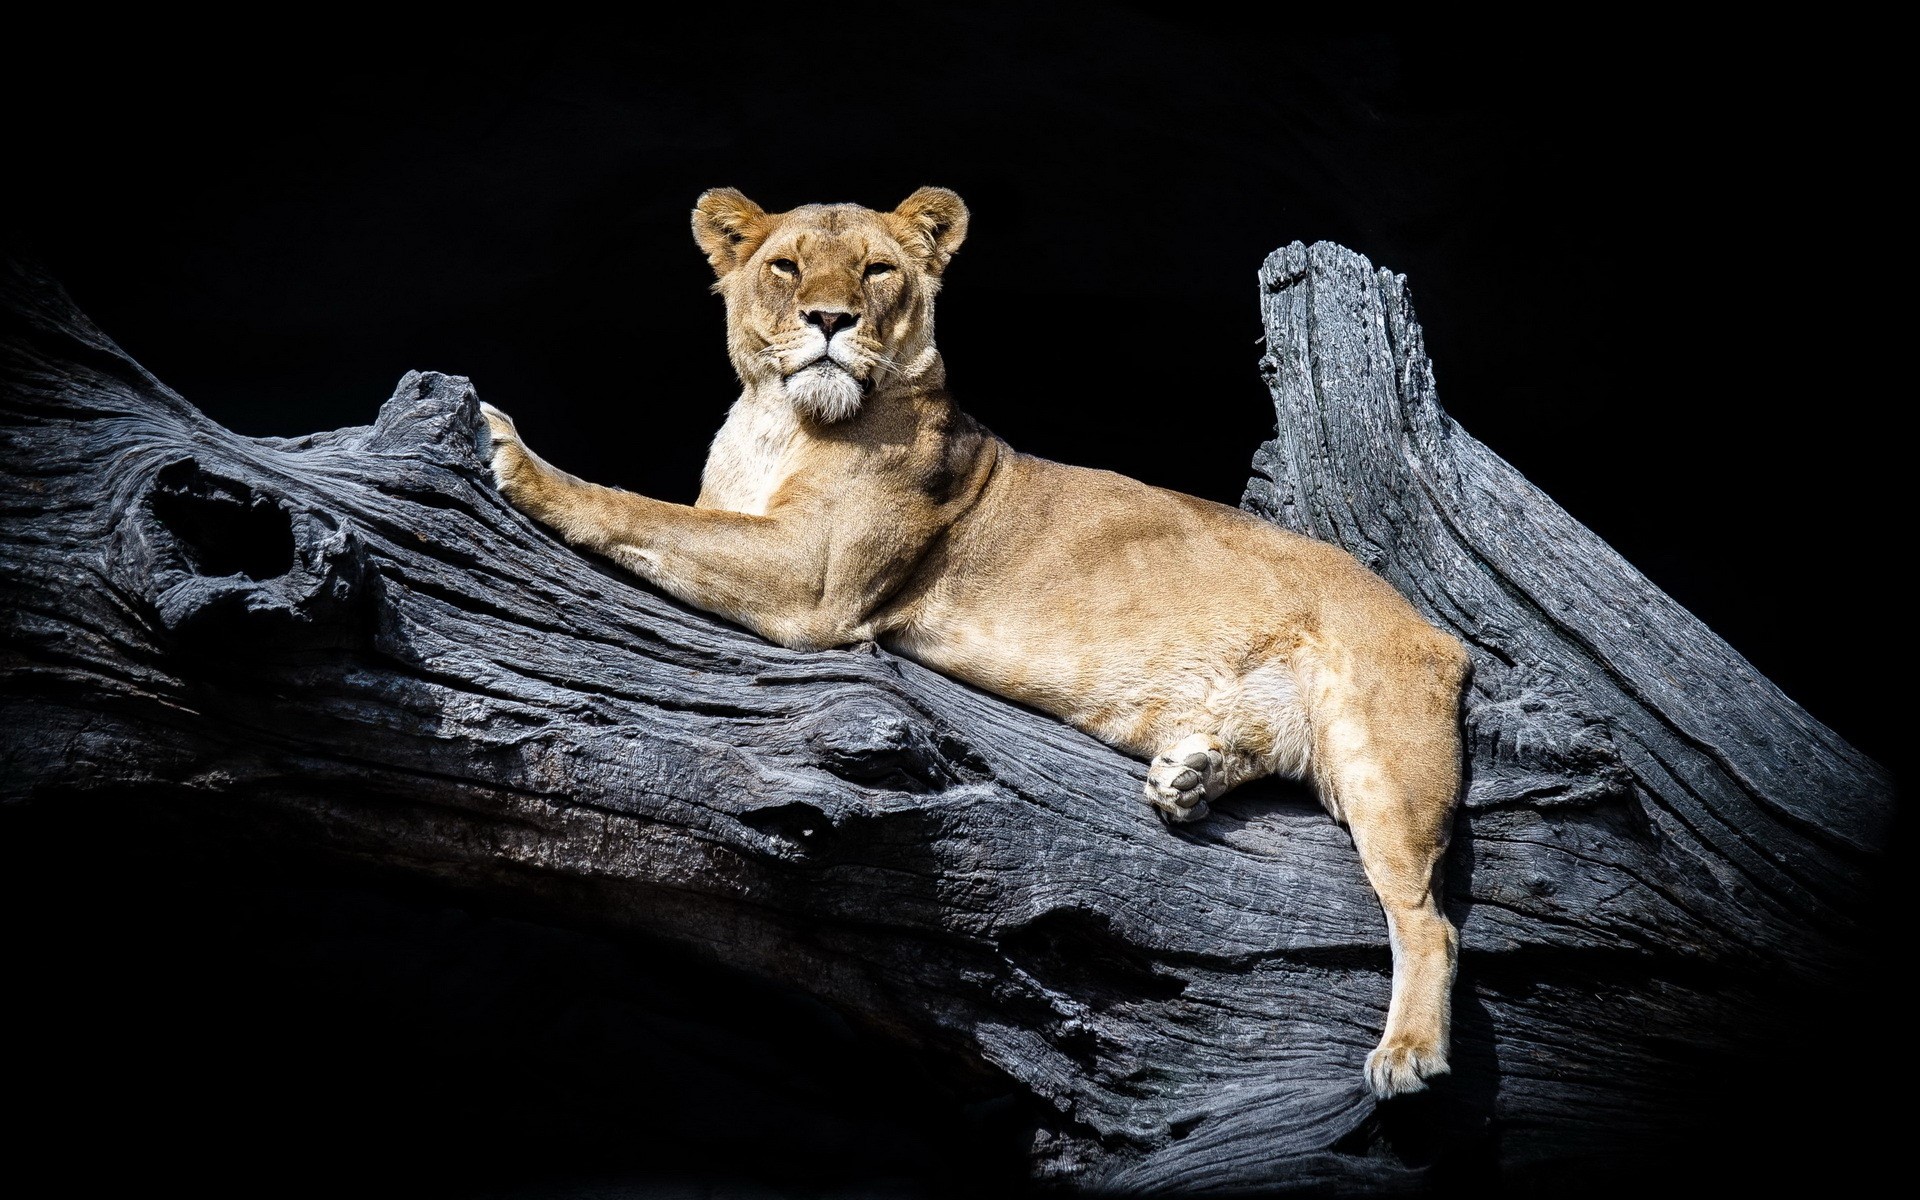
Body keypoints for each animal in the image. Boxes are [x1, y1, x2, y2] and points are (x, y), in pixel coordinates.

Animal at [480, 187, 1470, 1098]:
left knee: (1430, 920)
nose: (830, 321)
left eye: (878, 271)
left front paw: (520, 460)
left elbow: (643, 509)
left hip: (1384, 758)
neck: (775, 426)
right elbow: (675, 517)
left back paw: (1409, 1053)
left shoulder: (815, 581)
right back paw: (1191, 775)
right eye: (787, 267)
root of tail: (1436, 630)